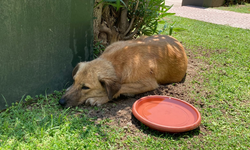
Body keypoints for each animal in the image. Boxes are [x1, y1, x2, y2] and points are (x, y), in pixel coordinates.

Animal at [59, 34, 188, 108]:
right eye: (74, 81)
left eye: (85, 87)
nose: (61, 102)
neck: (115, 63)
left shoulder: (148, 83)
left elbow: (120, 87)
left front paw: (99, 98)